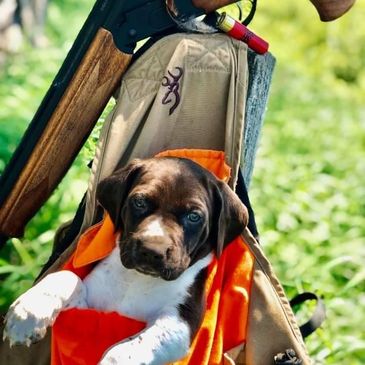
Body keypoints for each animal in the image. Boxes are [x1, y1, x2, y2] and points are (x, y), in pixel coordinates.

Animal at [3, 158, 247, 364]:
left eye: (194, 217)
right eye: (139, 202)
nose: (152, 251)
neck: (138, 279)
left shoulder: (180, 323)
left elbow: (132, 347)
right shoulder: (86, 310)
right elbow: (68, 276)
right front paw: (28, 314)